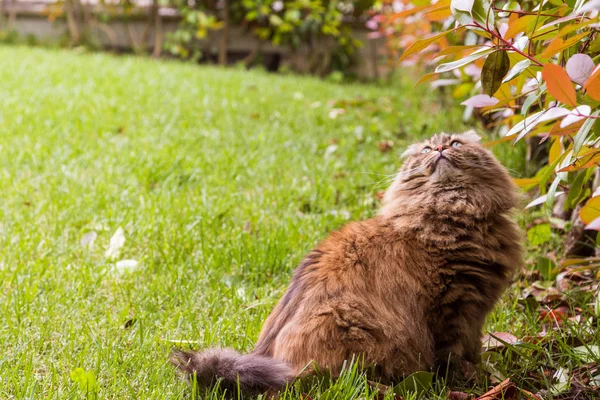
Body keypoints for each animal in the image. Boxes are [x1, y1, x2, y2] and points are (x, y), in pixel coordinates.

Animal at [171, 130, 524, 394]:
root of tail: (274, 364)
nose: (439, 148)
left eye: (455, 144)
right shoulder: (451, 308)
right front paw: (465, 383)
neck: (450, 211)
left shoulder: (475, 314)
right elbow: (450, 358)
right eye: (427, 148)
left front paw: (482, 373)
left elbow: (473, 349)